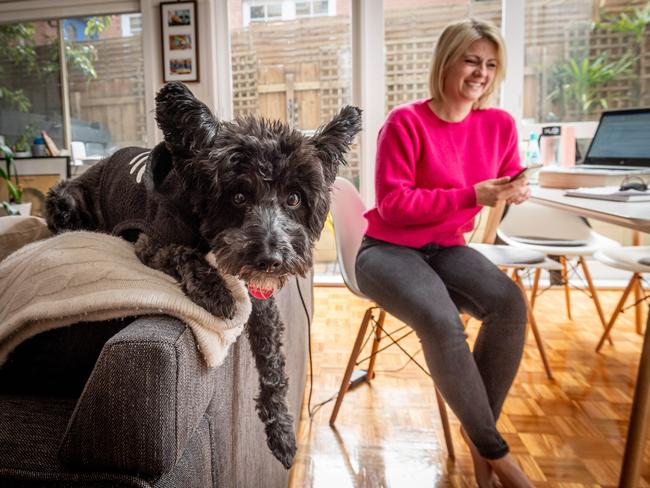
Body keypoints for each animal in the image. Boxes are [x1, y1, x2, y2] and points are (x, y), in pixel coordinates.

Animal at [45, 81, 360, 468]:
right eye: (238, 196)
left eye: (294, 199)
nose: (271, 259)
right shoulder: (152, 243)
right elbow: (186, 253)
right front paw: (217, 292)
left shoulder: (260, 298)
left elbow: (273, 366)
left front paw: (283, 431)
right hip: (65, 200)